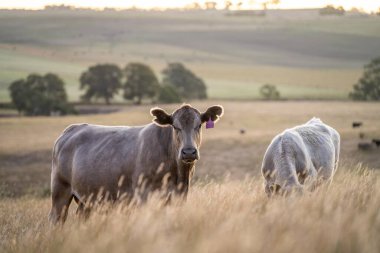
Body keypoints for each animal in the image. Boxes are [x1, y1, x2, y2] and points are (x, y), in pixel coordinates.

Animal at [49, 104, 224, 223]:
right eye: (175, 126)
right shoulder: (143, 195)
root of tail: (71, 129)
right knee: (56, 219)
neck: (178, 174)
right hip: (60, 191)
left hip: (87, 198)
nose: (188, 152)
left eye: (199, 125)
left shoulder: (179, 196)